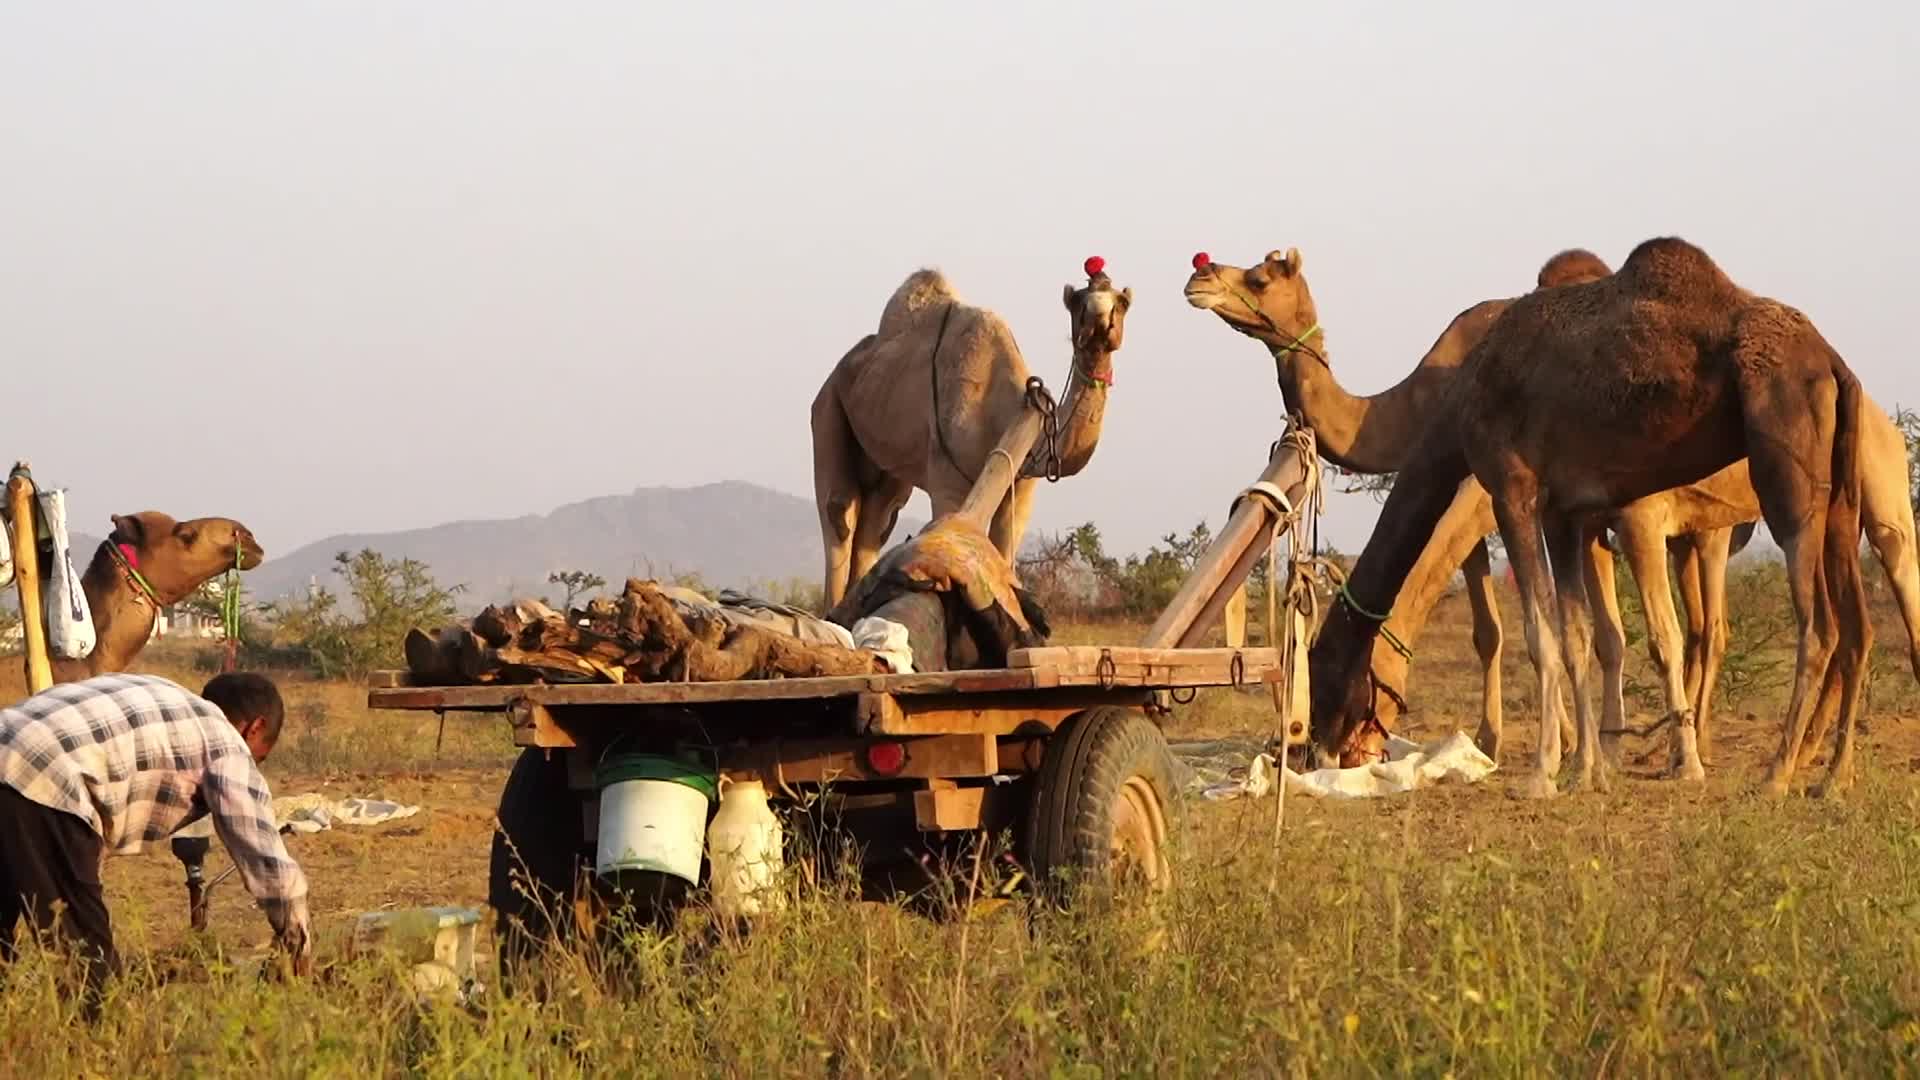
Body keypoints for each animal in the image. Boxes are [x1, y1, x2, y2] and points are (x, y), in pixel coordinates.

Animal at [812, 257, 1130, 608]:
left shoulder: (1021, 491)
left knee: (878, 517)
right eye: (1078, 304)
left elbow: (1005, 558)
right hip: (827, 406)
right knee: (839, 509)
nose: (1100, 323)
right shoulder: (947, 482)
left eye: (1122, 303)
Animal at [1185, 247, 1920, 768]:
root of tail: (1844, 372)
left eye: (1259, 277)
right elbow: (1548, 632)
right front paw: (1569, 747)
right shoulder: (1550, 510)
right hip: (1759, 522)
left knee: (1855, 598)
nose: (1199, 275)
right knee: (1778, 626)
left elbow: (1589, 629)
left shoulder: (1513, 493)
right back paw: (1794, 756)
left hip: (1848, 498)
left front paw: (1571, 750)